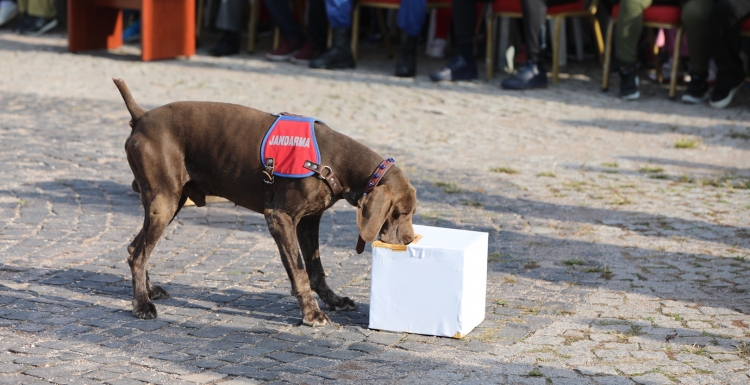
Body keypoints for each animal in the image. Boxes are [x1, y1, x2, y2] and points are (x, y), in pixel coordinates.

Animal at [113, 79, 418, 326]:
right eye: (400, 213)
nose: (409, 241)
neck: (334, 161)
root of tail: (141, 116)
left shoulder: (309, 221)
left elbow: (316, 269)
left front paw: (333, 300)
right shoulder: (280, 219)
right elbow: (300, 272)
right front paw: (311, 313)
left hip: (172, 201)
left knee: (134, 247)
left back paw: (149, 290)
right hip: (164, 202)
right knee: (138, 253)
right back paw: (142, 304)